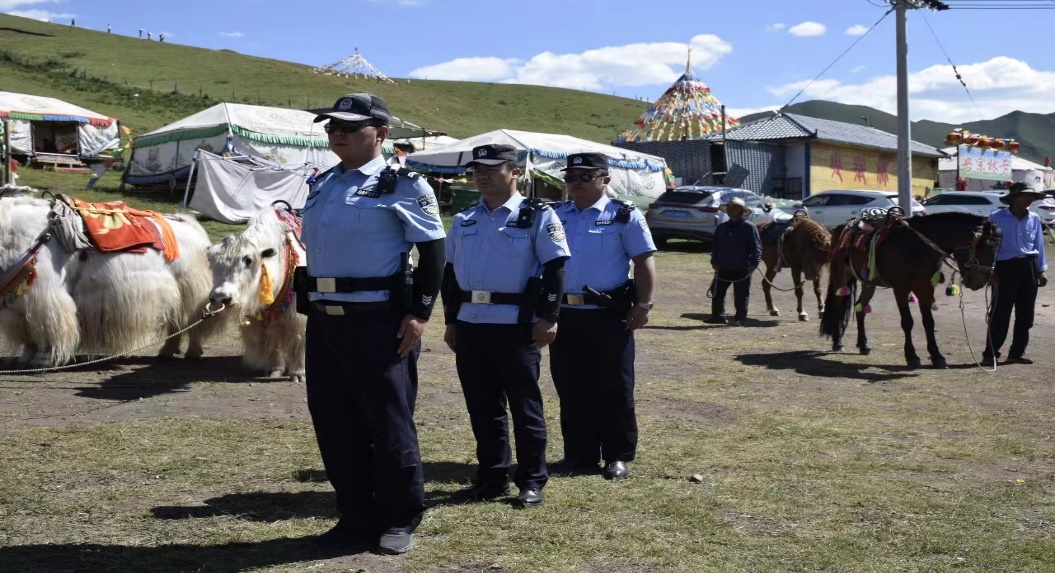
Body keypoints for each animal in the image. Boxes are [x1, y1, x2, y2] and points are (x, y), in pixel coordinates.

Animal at [818, 211, 1000, 367]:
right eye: (987, 248)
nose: (980, 282)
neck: (916, 246)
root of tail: (842, 226)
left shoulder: (926, 288)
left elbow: (929, 322)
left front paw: (937, 356)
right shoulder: (901, 288)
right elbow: (907, 322)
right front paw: (912, 356)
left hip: (869, 282)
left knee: (860, 308)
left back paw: (863, 344)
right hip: (841, 277)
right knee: (837, 305)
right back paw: (838, 342)